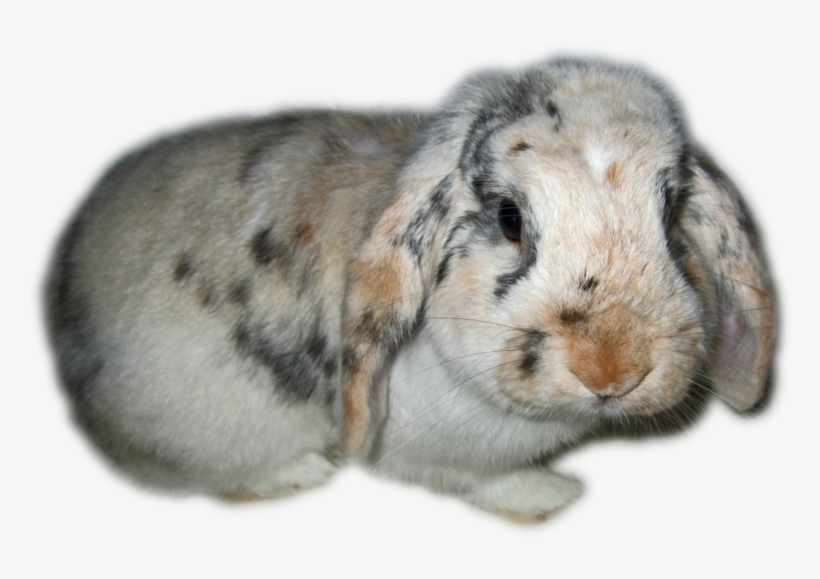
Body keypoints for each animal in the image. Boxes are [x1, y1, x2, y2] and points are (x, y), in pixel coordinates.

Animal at [46, 57, 776, 521]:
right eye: (509, 218)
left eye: (671, 214)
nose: (611, 368)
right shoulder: (445, 453)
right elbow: (489, 480)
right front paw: (550, 496)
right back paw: (302, 470)